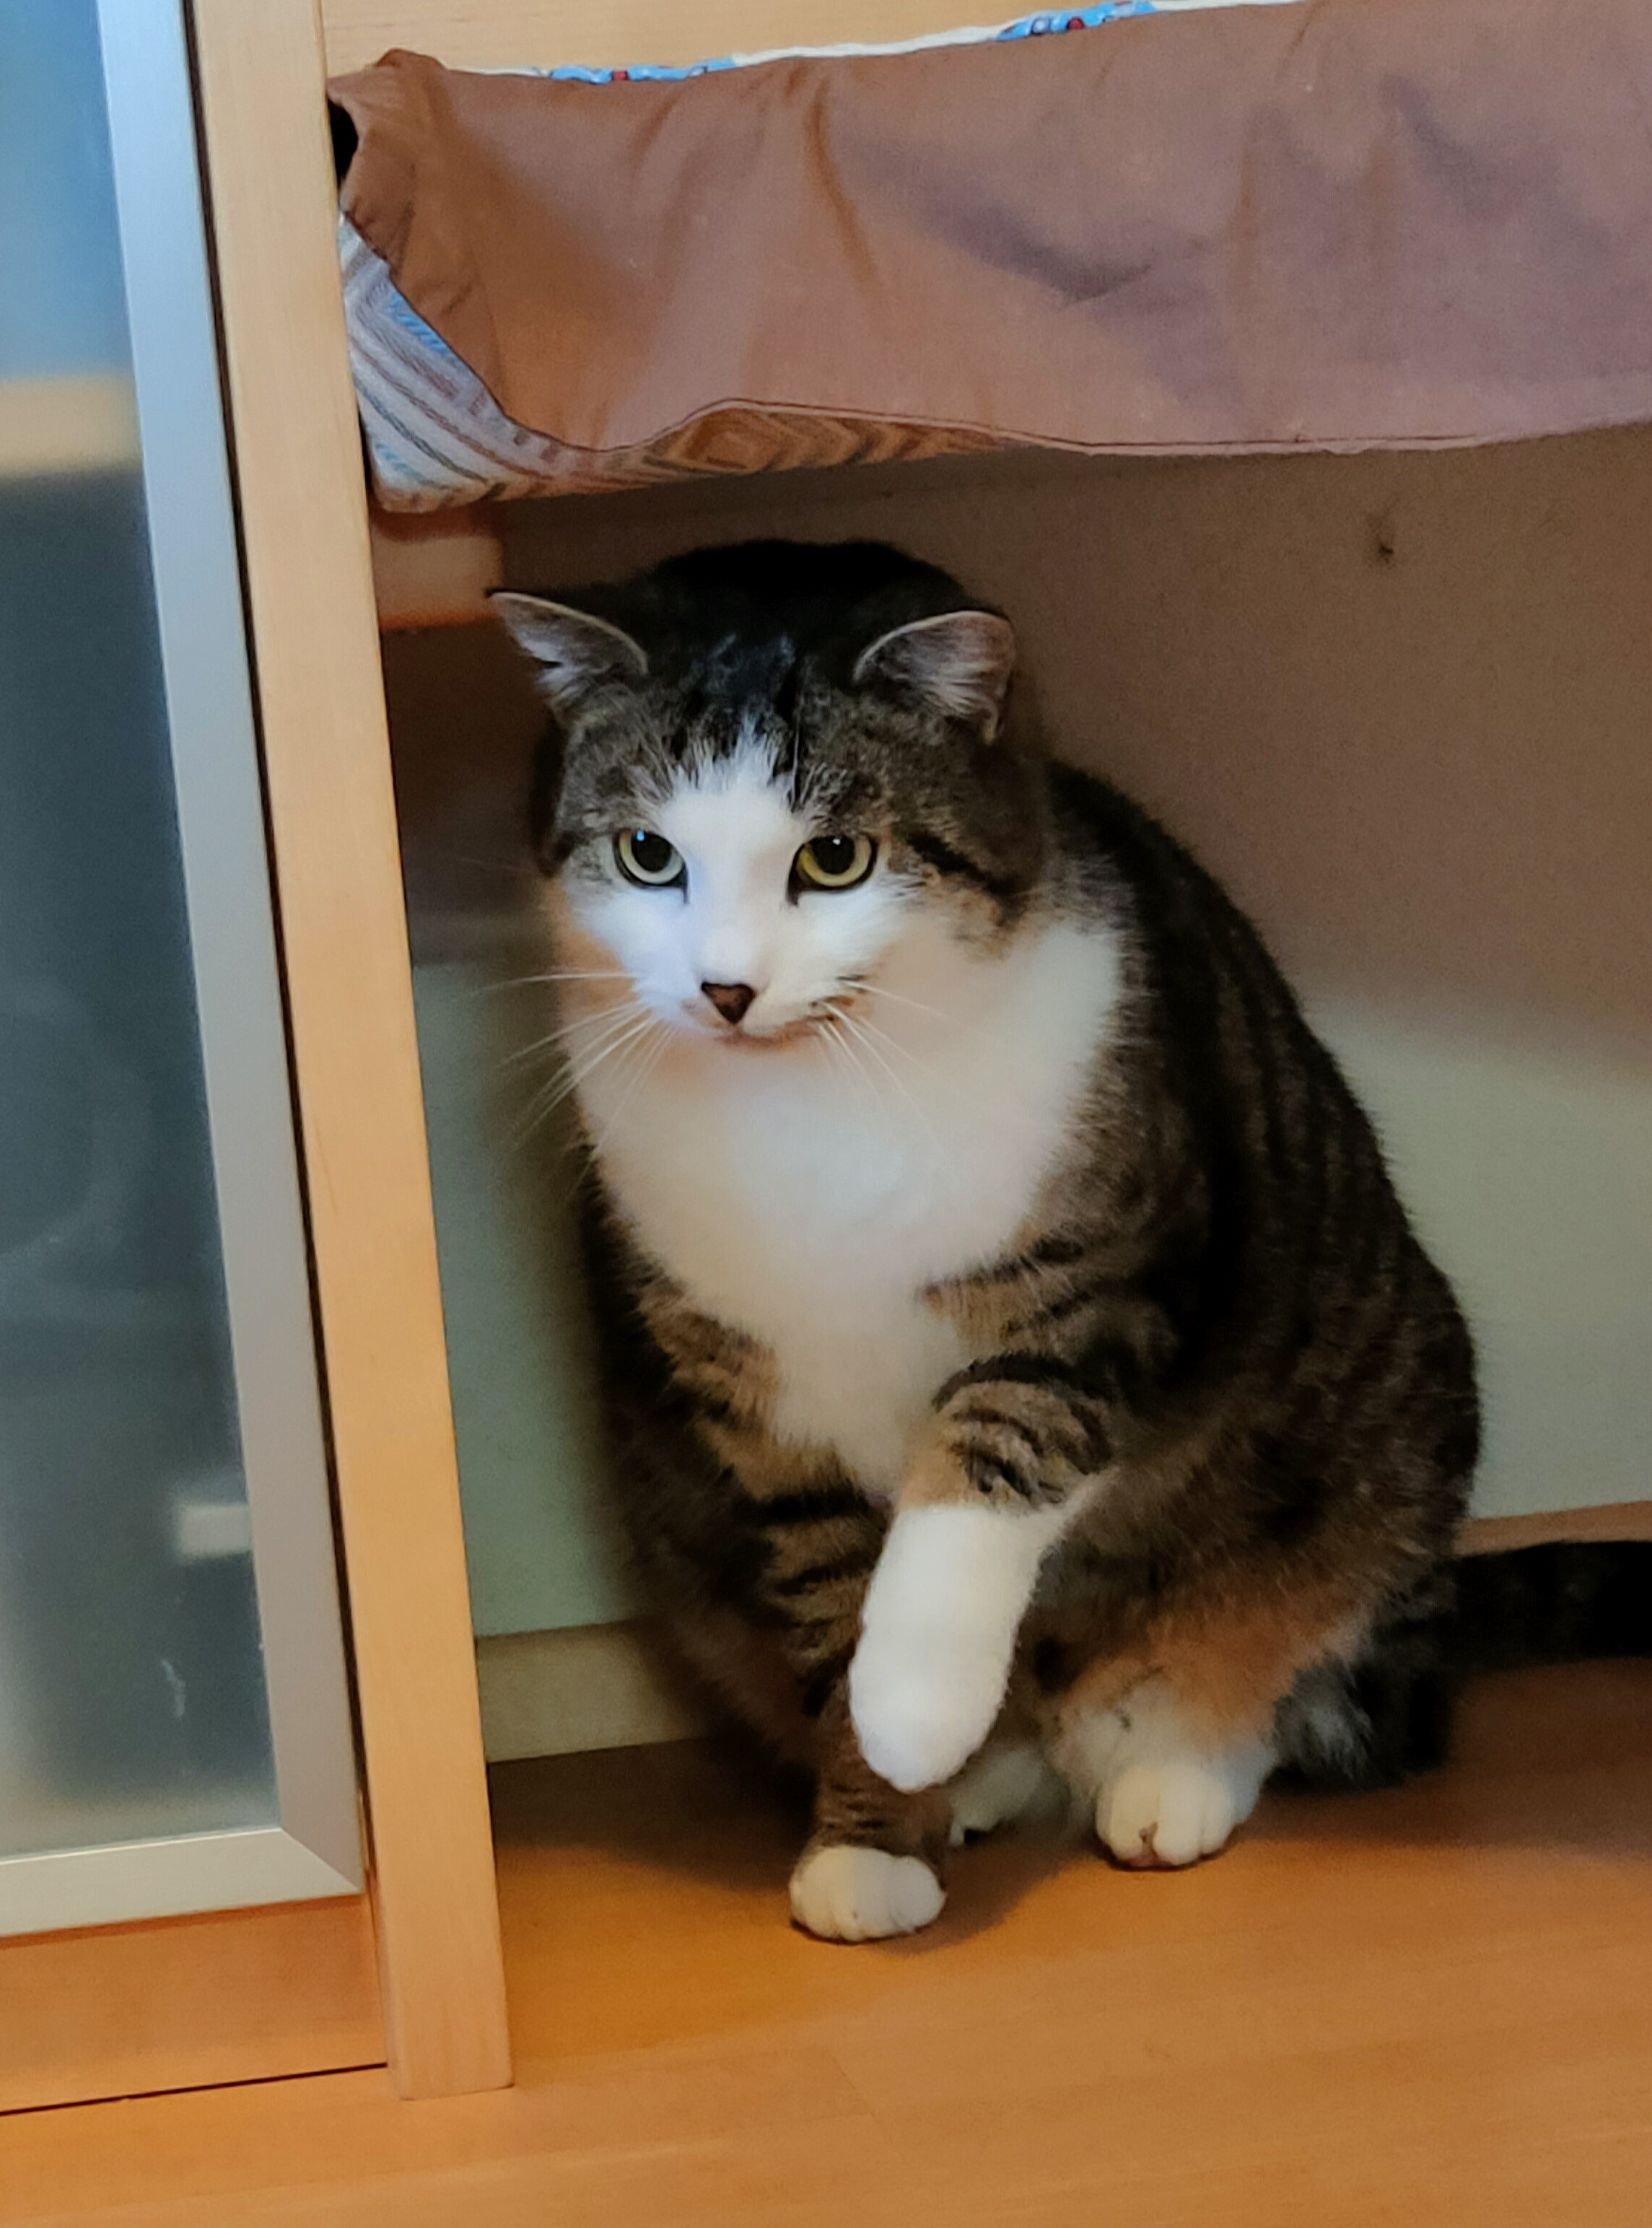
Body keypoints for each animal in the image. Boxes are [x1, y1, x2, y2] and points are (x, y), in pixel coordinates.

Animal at [491, 540, 1628, 1944]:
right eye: (648, 853)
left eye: (834, 858)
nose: (725, 988)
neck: (812, 1107)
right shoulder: (753, 1397)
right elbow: (826, 1601)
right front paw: (873, 1831)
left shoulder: (1102, 1284)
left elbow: (988, 1458)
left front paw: (914, 1706)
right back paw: (993, 1776)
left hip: (1381, 1436)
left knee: (1316, 1689)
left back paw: (1170, 1767)